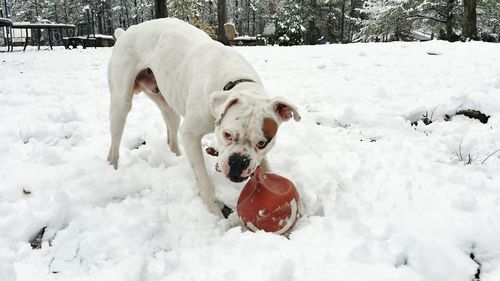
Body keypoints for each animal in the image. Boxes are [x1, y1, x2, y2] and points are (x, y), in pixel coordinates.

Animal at [107, 18, 298, 217]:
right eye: (227, 135)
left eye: (262, 143)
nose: (238, 162)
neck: (235, 81)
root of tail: (126, 31)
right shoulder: (190, 134)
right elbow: (204, 179)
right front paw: (214, 212)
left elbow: (266, 164)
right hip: (121, 103)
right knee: (115, 143)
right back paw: (114, 170)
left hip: (169, 106)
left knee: (171, 133)